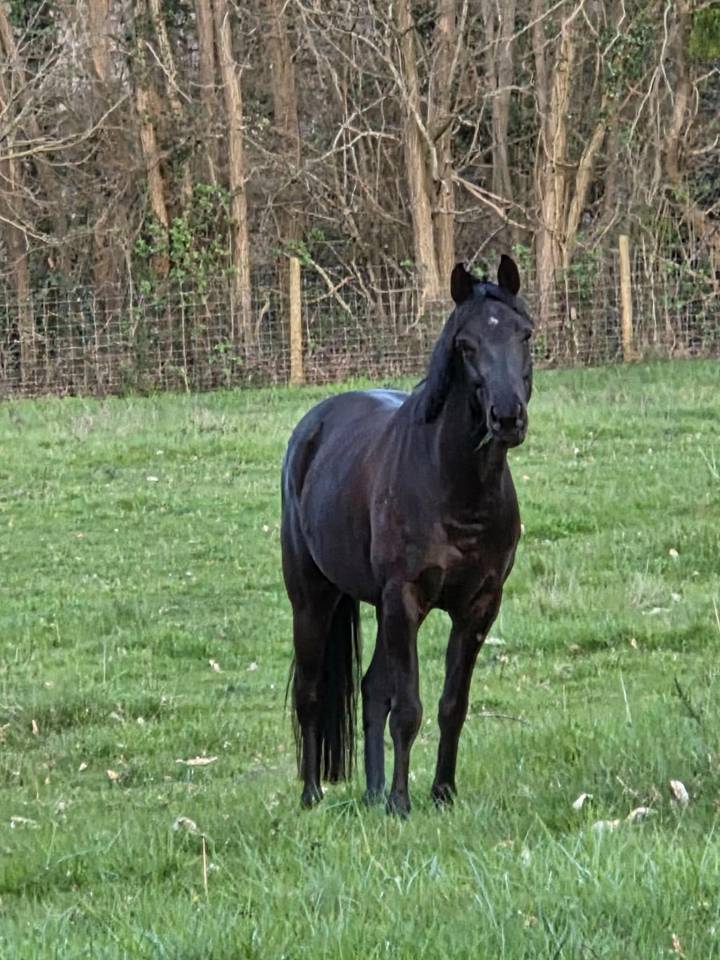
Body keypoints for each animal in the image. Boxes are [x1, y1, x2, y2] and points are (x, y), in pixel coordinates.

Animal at [281, 255, 533, 815]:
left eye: (524, 334)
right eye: (466, 346)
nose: (507, 417)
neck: (454, 486)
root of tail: (313, 425)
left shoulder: (479, 606)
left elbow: (450, 705)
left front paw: (441, 793)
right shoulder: (405, 599)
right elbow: (410, 707)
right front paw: (401, 802)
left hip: (377, 607)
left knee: (372, 689)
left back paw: (372, 791)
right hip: (314, 598)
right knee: (310, 693)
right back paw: (312, 795)